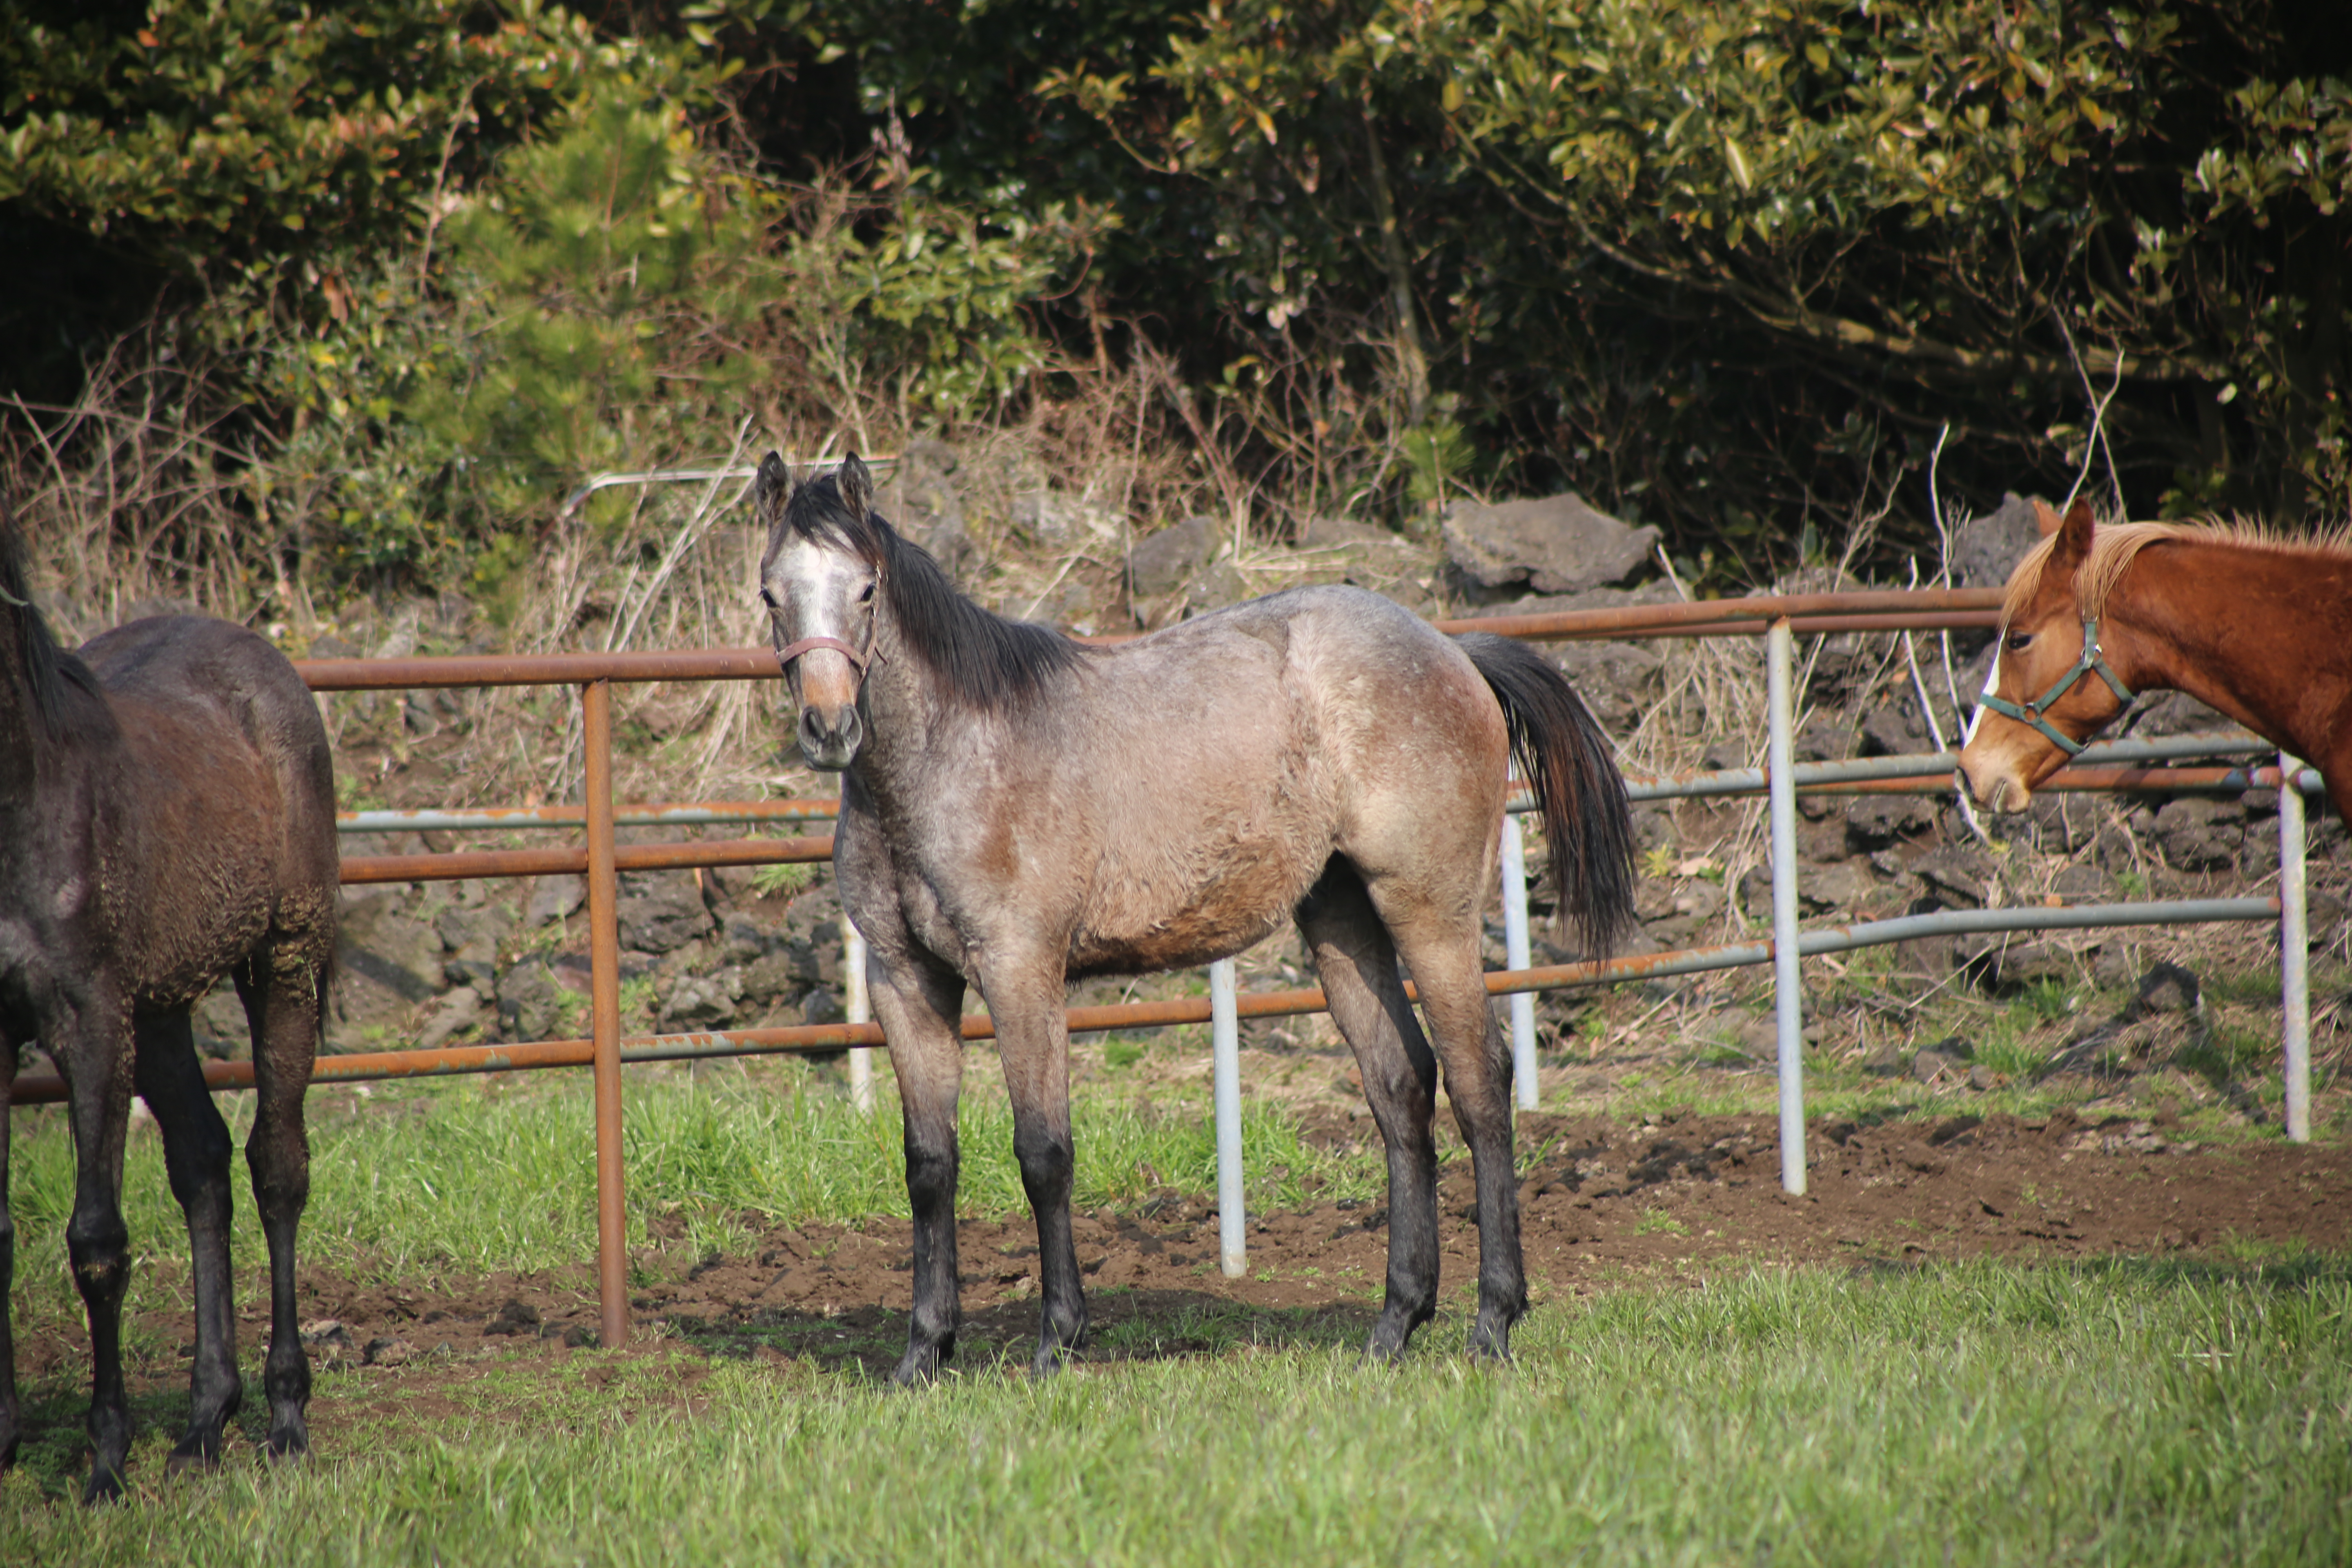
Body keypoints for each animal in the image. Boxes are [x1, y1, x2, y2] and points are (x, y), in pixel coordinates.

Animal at [0, 505, 341, 1504]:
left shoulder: (88, 1025)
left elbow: (97, 1242)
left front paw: (106, 1464)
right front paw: (5, 1436)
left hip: (282, 962)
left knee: (276, 1167)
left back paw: (284, 1415)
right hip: (157, 1009)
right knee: (202, 1164)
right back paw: (204, 1421)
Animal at [757, 456, 1637, 1382]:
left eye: (865, 588)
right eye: (771, 593)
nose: (829, 727)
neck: (946, 760)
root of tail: (1453, 651)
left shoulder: (1019, 971)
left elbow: (1044, 1154)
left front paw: (1057, 1341)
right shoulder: (906, 980)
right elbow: (930, 1164)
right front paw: (924, 1353)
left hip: (1430, 912)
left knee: (1480, 1086)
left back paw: (1493, 1323)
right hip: (1343, 926)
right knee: (1401, 1089)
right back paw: (1395, 1326)